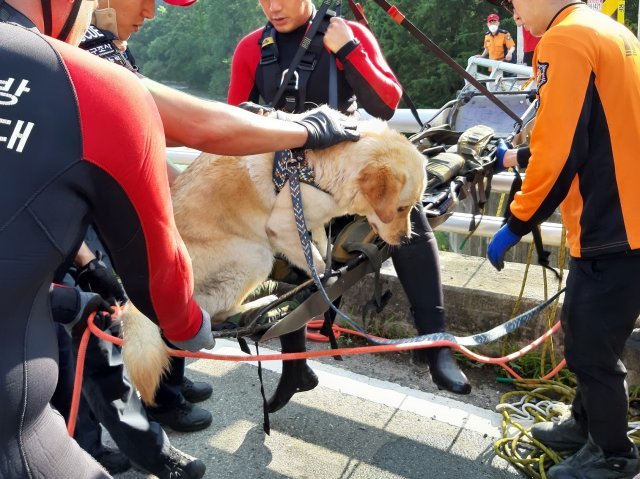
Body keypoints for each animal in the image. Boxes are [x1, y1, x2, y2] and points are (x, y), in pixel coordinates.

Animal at [123, 107, 428, 404]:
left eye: (413, 206)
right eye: (401, 208)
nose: (407, 239)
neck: (316, 168)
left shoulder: (313, 219)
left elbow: (318, 238)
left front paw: (326, 252)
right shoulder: (282, 227)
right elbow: (314, 261)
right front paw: (325, 278)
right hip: (255, 256)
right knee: (217, 311)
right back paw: (262, 303)